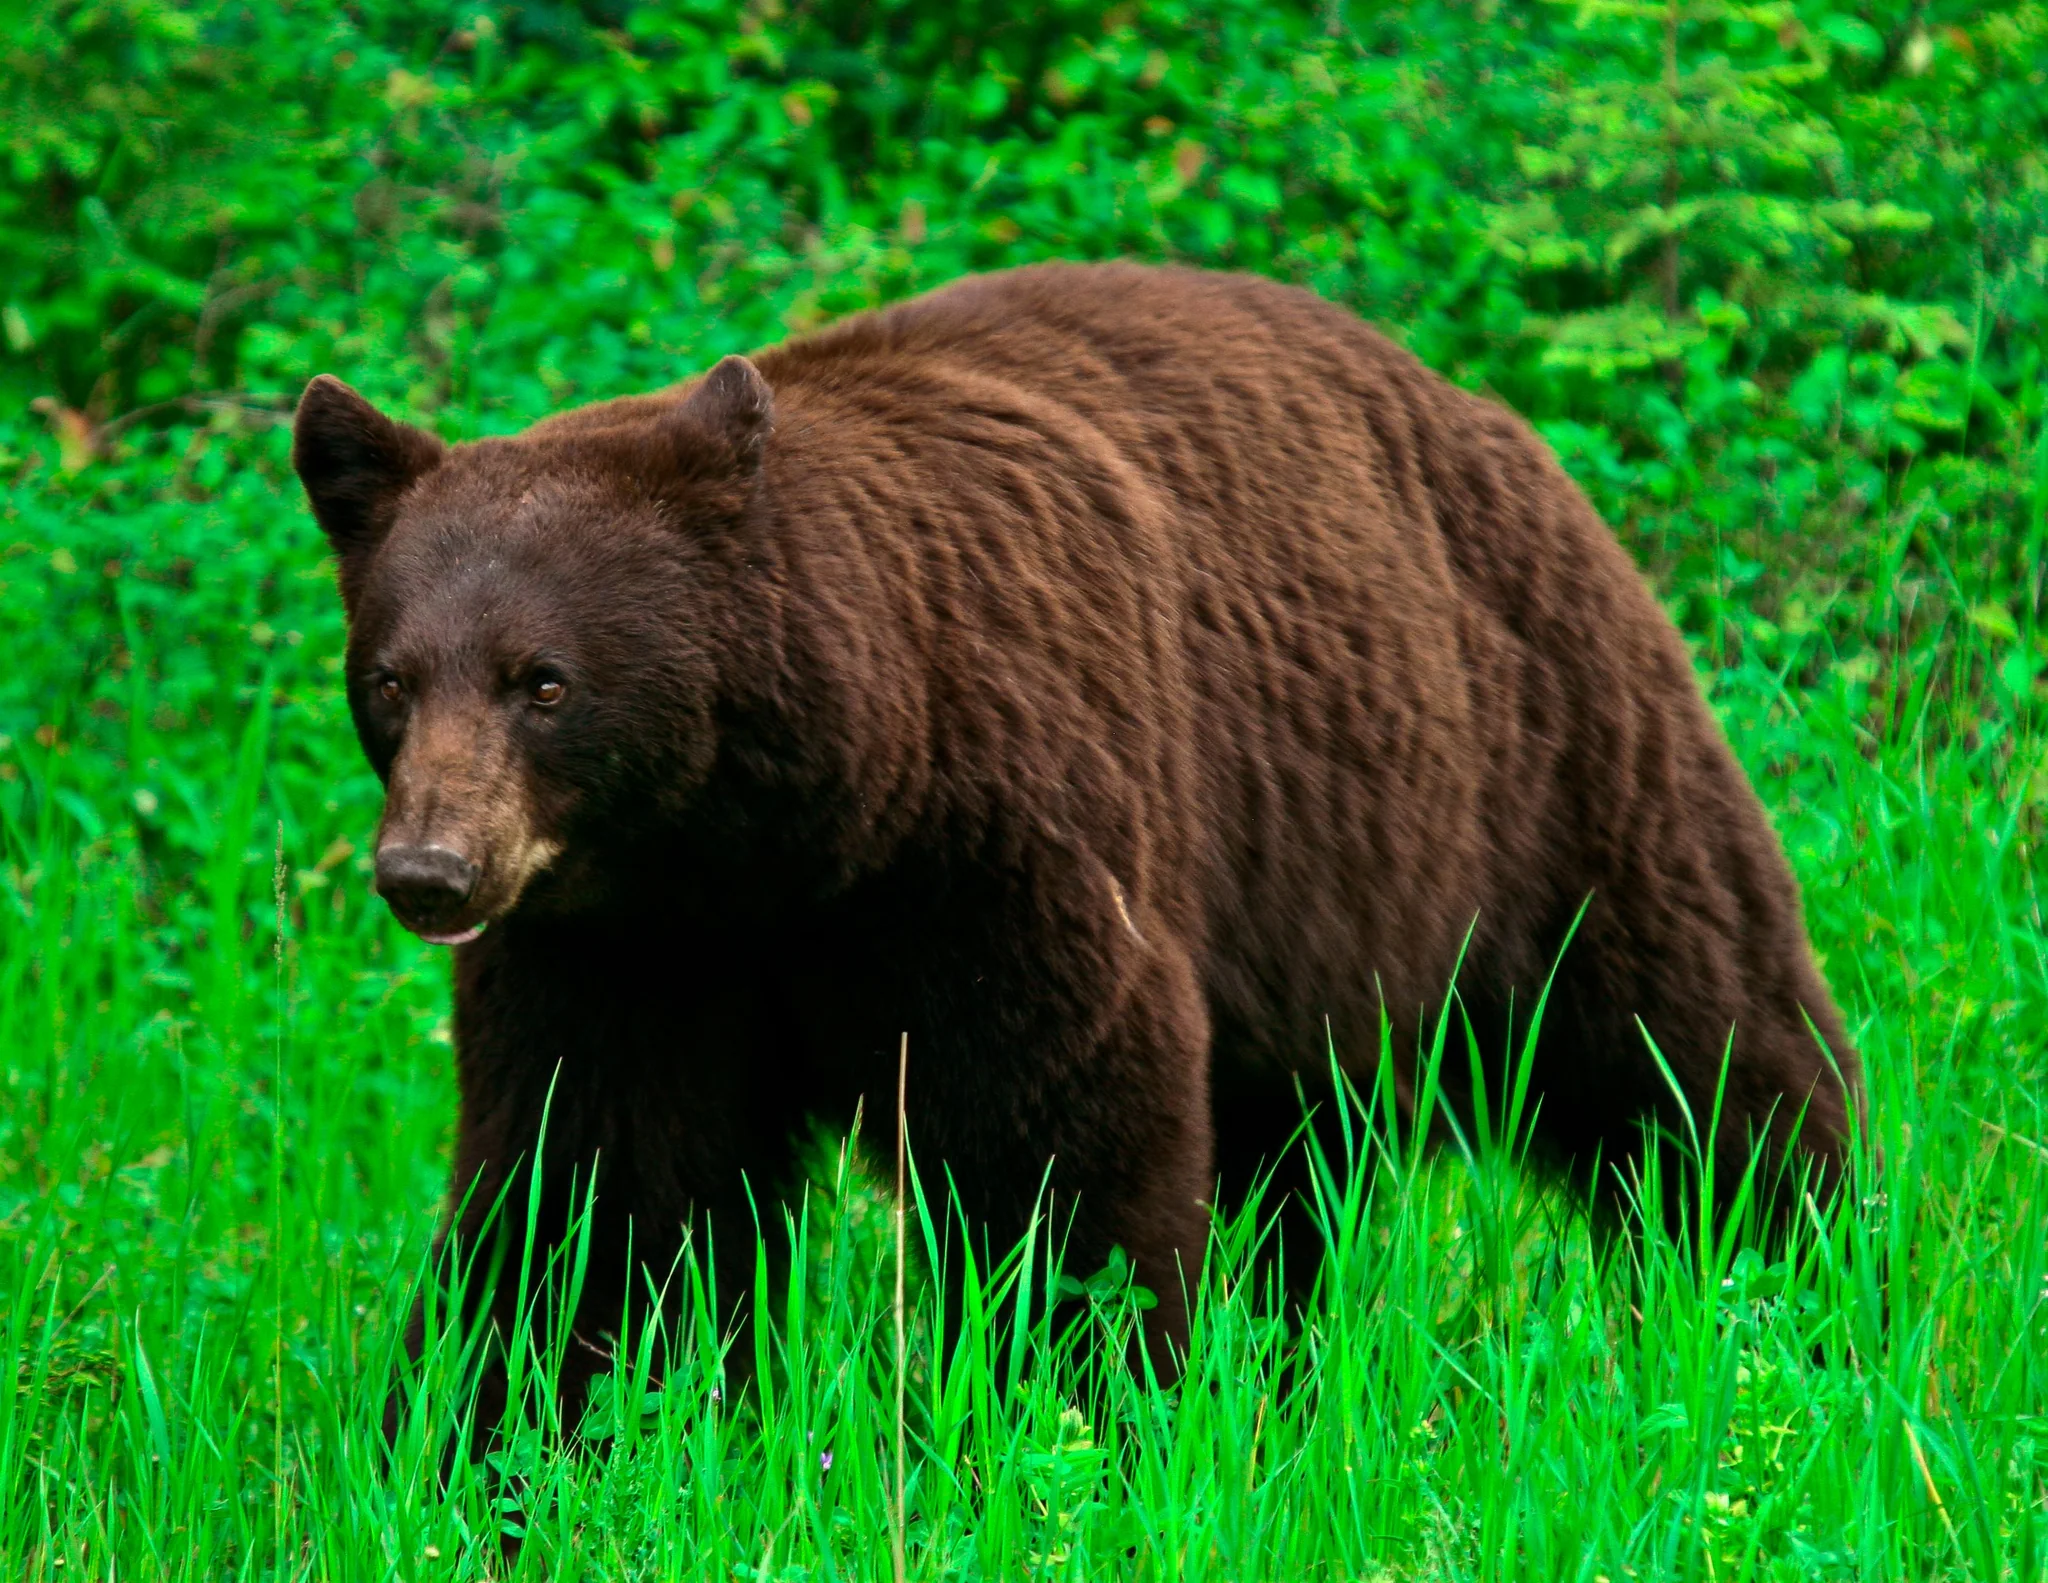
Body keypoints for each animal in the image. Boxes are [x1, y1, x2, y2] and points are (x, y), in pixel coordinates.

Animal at [292, 261, 1861, 1418]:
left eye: (543, 680)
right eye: (390, 678)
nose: (427, 871)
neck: (784, 831)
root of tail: (1494, 418)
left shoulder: (1002, 831)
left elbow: (1054, 1133)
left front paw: (1078, 1406)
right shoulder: (628, 943)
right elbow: (594, 1185)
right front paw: (516, 1439)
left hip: (1529, 761)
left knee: (1694, 1040)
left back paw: (1802, 1302)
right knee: (1288, 1167)